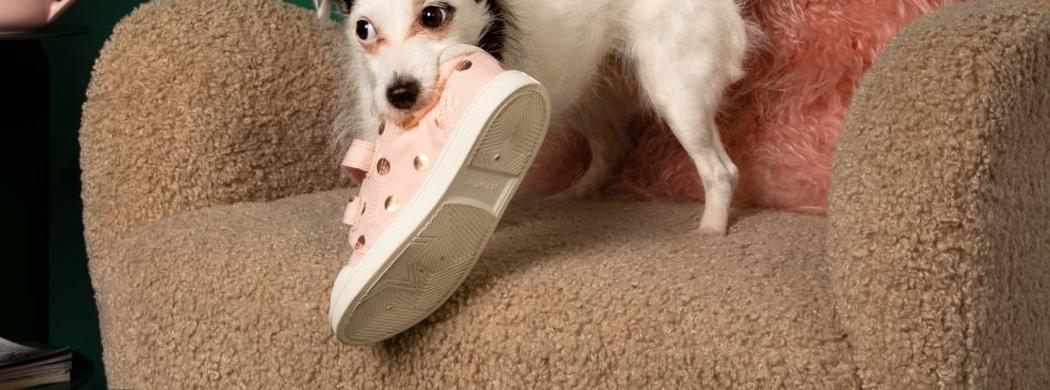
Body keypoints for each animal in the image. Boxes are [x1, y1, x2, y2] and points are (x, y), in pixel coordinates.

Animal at [315, 0, 751, 235]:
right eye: (363, 29)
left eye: (433, 15)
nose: (401, 95)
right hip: (583, 85)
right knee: (613, 145)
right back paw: (577, 193)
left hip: (676, 90)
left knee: (721, 169)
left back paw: (712, 225)